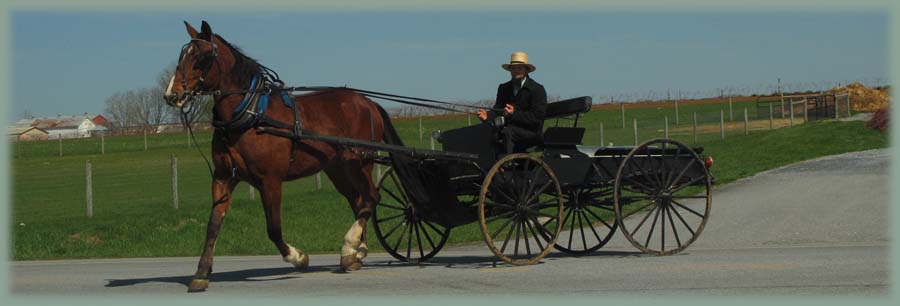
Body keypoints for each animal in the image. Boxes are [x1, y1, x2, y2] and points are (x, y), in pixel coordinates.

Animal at [165, 20, 398, 292]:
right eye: (182, 55)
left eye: (200, 58)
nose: (172, 95)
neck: (251, 115)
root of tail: (368, 103)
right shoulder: (223, 177)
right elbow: (213, 225)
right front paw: (201, 273)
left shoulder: (270, 180)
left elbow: (273, 228)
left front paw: (298, 257)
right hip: (338, 169)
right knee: (358, 200)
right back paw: (356, 253)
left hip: (360, 163)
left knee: (371, 197)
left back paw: (350, 246)